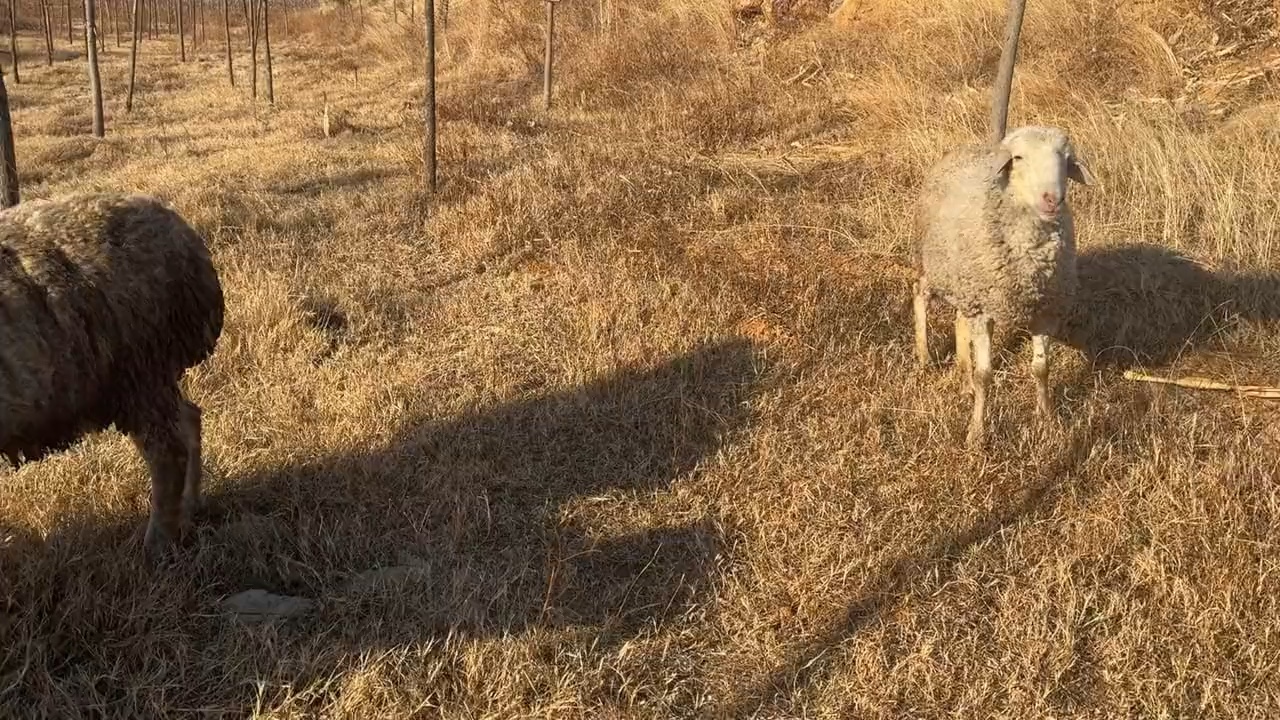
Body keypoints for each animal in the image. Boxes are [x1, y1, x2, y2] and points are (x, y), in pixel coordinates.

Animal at [0, 189, 224, 556]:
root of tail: (185, 238)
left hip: (138, 371)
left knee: (168, 453)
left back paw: (157, 543)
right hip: (146, 378)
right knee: (190, 420)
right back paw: (189, 510)